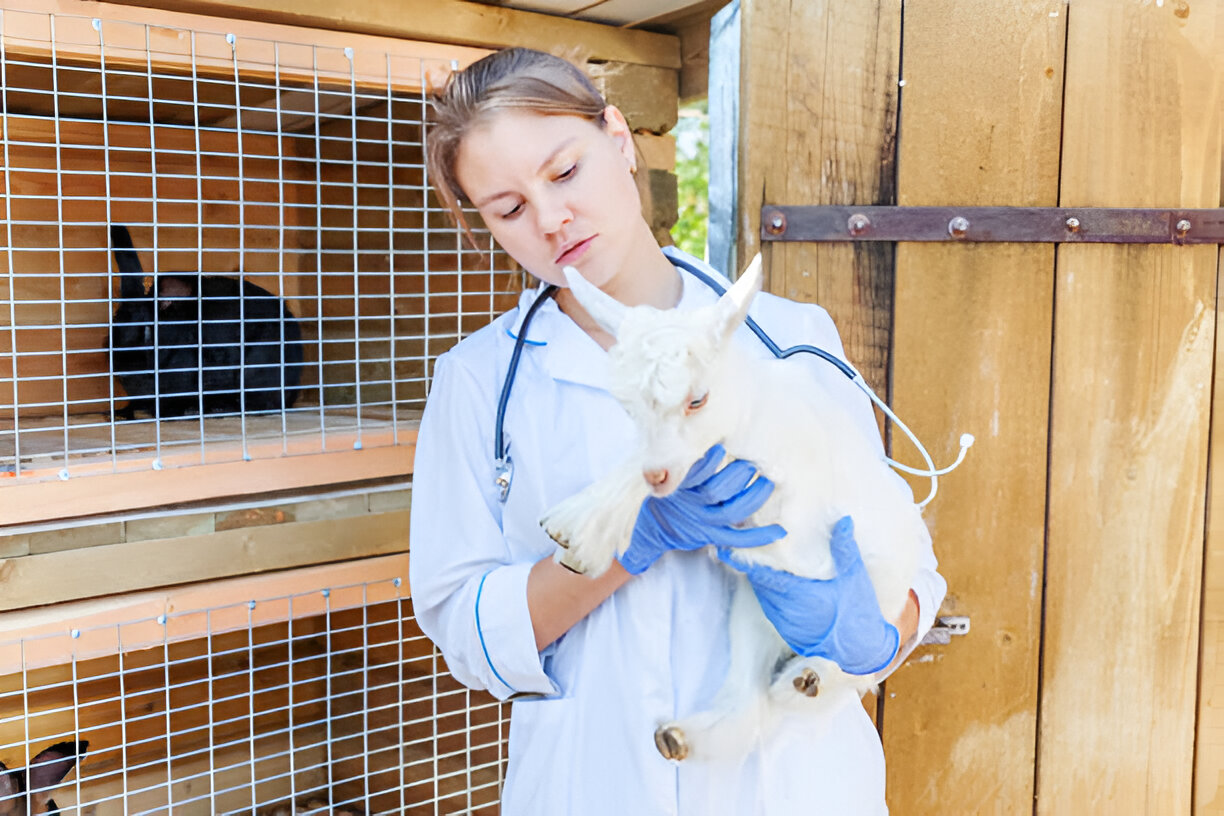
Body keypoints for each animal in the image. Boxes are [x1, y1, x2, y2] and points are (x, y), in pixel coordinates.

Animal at [539, 255, 928, 762]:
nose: (657, 476)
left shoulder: (795, 513)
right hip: (753, 615)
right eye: (627, 407)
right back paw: (681, 736)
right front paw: (578, 531)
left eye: (697, 399)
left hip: (870, 600)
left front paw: (583, 531)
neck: (750, 413)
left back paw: (809, 677)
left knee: (857, 663)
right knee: (750, 697)